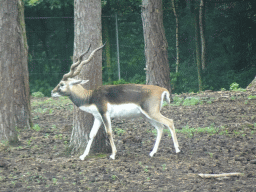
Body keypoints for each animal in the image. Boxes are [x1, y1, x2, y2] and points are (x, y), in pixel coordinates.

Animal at [51, 44, 180, 160]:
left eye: (62, 84)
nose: (52, 92)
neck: (90, 96)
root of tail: (162, 90)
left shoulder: (105, 114)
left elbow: (109, 132)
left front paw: (113, 155)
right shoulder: (98, 117)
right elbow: (91, 134)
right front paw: (83, 156)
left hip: (152, 113)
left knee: (170, 122)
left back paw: (177, 149)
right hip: (146, 116)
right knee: (160, 127)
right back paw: (152, 153)